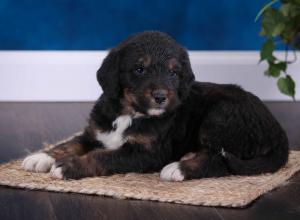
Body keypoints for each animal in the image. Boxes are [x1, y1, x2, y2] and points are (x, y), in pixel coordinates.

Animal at [21, 31, 288, 181]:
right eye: (140, 69)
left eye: (173, 72)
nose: (161, 97)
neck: (129, 113)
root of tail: (278, 130)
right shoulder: (96, 132)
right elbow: (71, 144)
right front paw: (41, 157)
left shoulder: (147, 152)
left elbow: (104, 156)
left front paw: (69, 167)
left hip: (221, 114)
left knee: (221, 161)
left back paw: (178, 168)